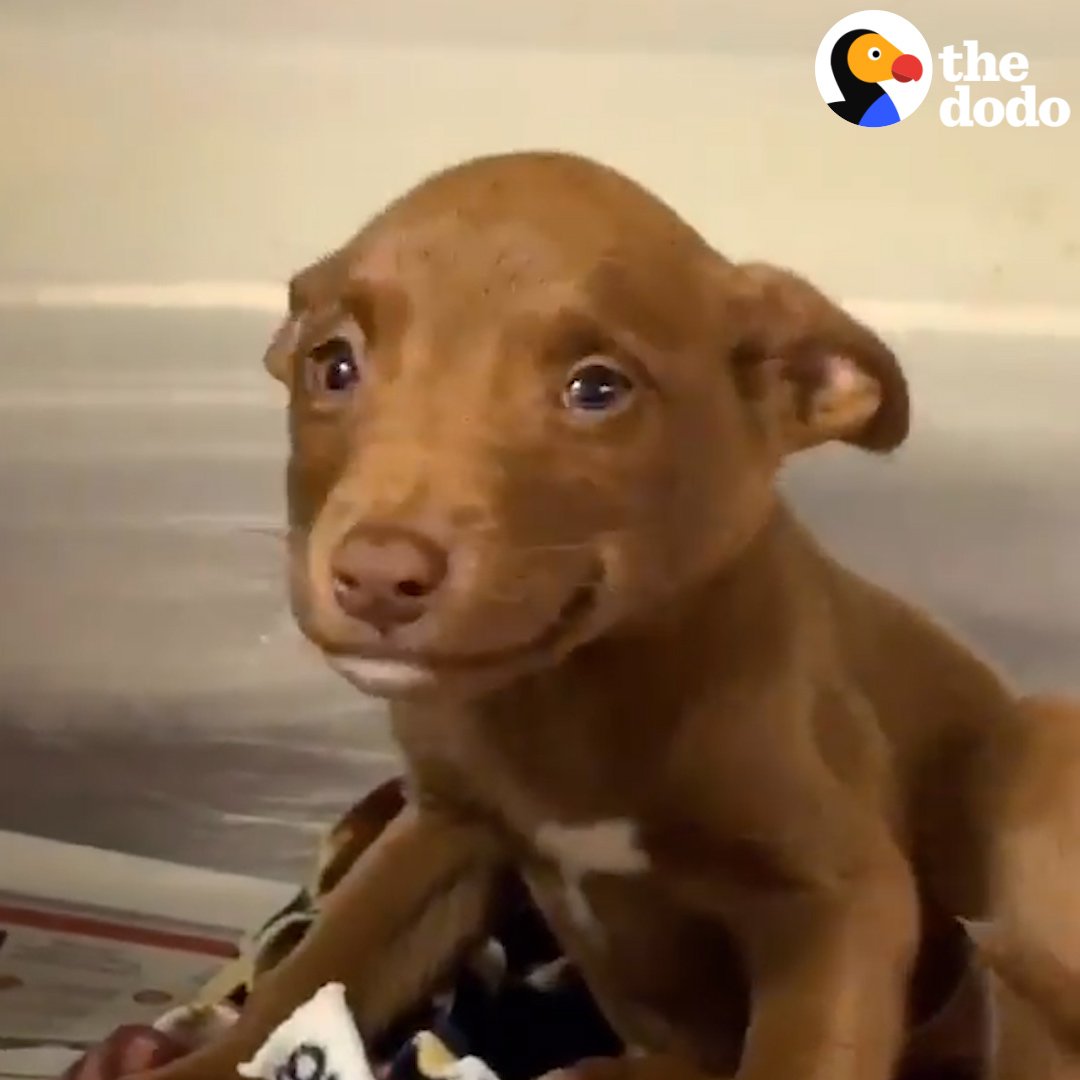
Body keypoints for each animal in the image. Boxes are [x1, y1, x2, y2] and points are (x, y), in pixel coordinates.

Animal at [130, 152, 1075, 1080]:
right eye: (333, 364)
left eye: (597, 388)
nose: (377, 577)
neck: (570, 695)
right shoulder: (443, 831)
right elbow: (312, 973)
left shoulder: (841, 899)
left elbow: (802, 1052)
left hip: (1033, 772)